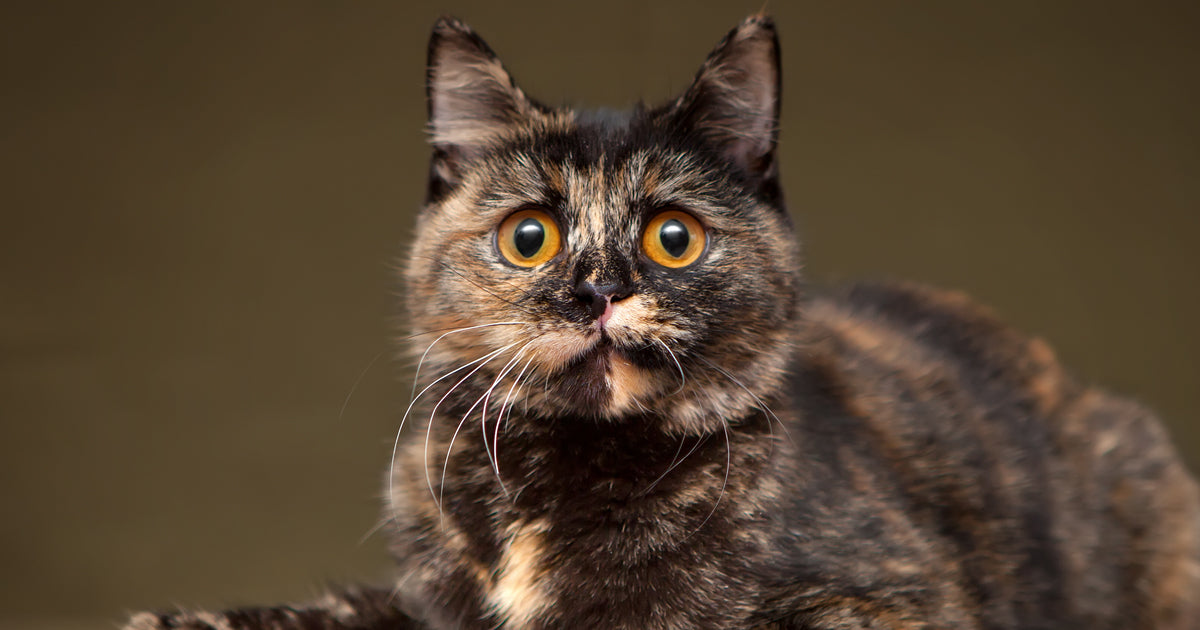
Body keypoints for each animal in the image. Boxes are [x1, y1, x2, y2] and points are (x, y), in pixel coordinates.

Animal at [124, 13, 1200, 628]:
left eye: (673, 237)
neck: (551, 484)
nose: (597, 289)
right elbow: (350, 609)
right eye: (529, 236)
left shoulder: (890, 603)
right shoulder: (429, 601)